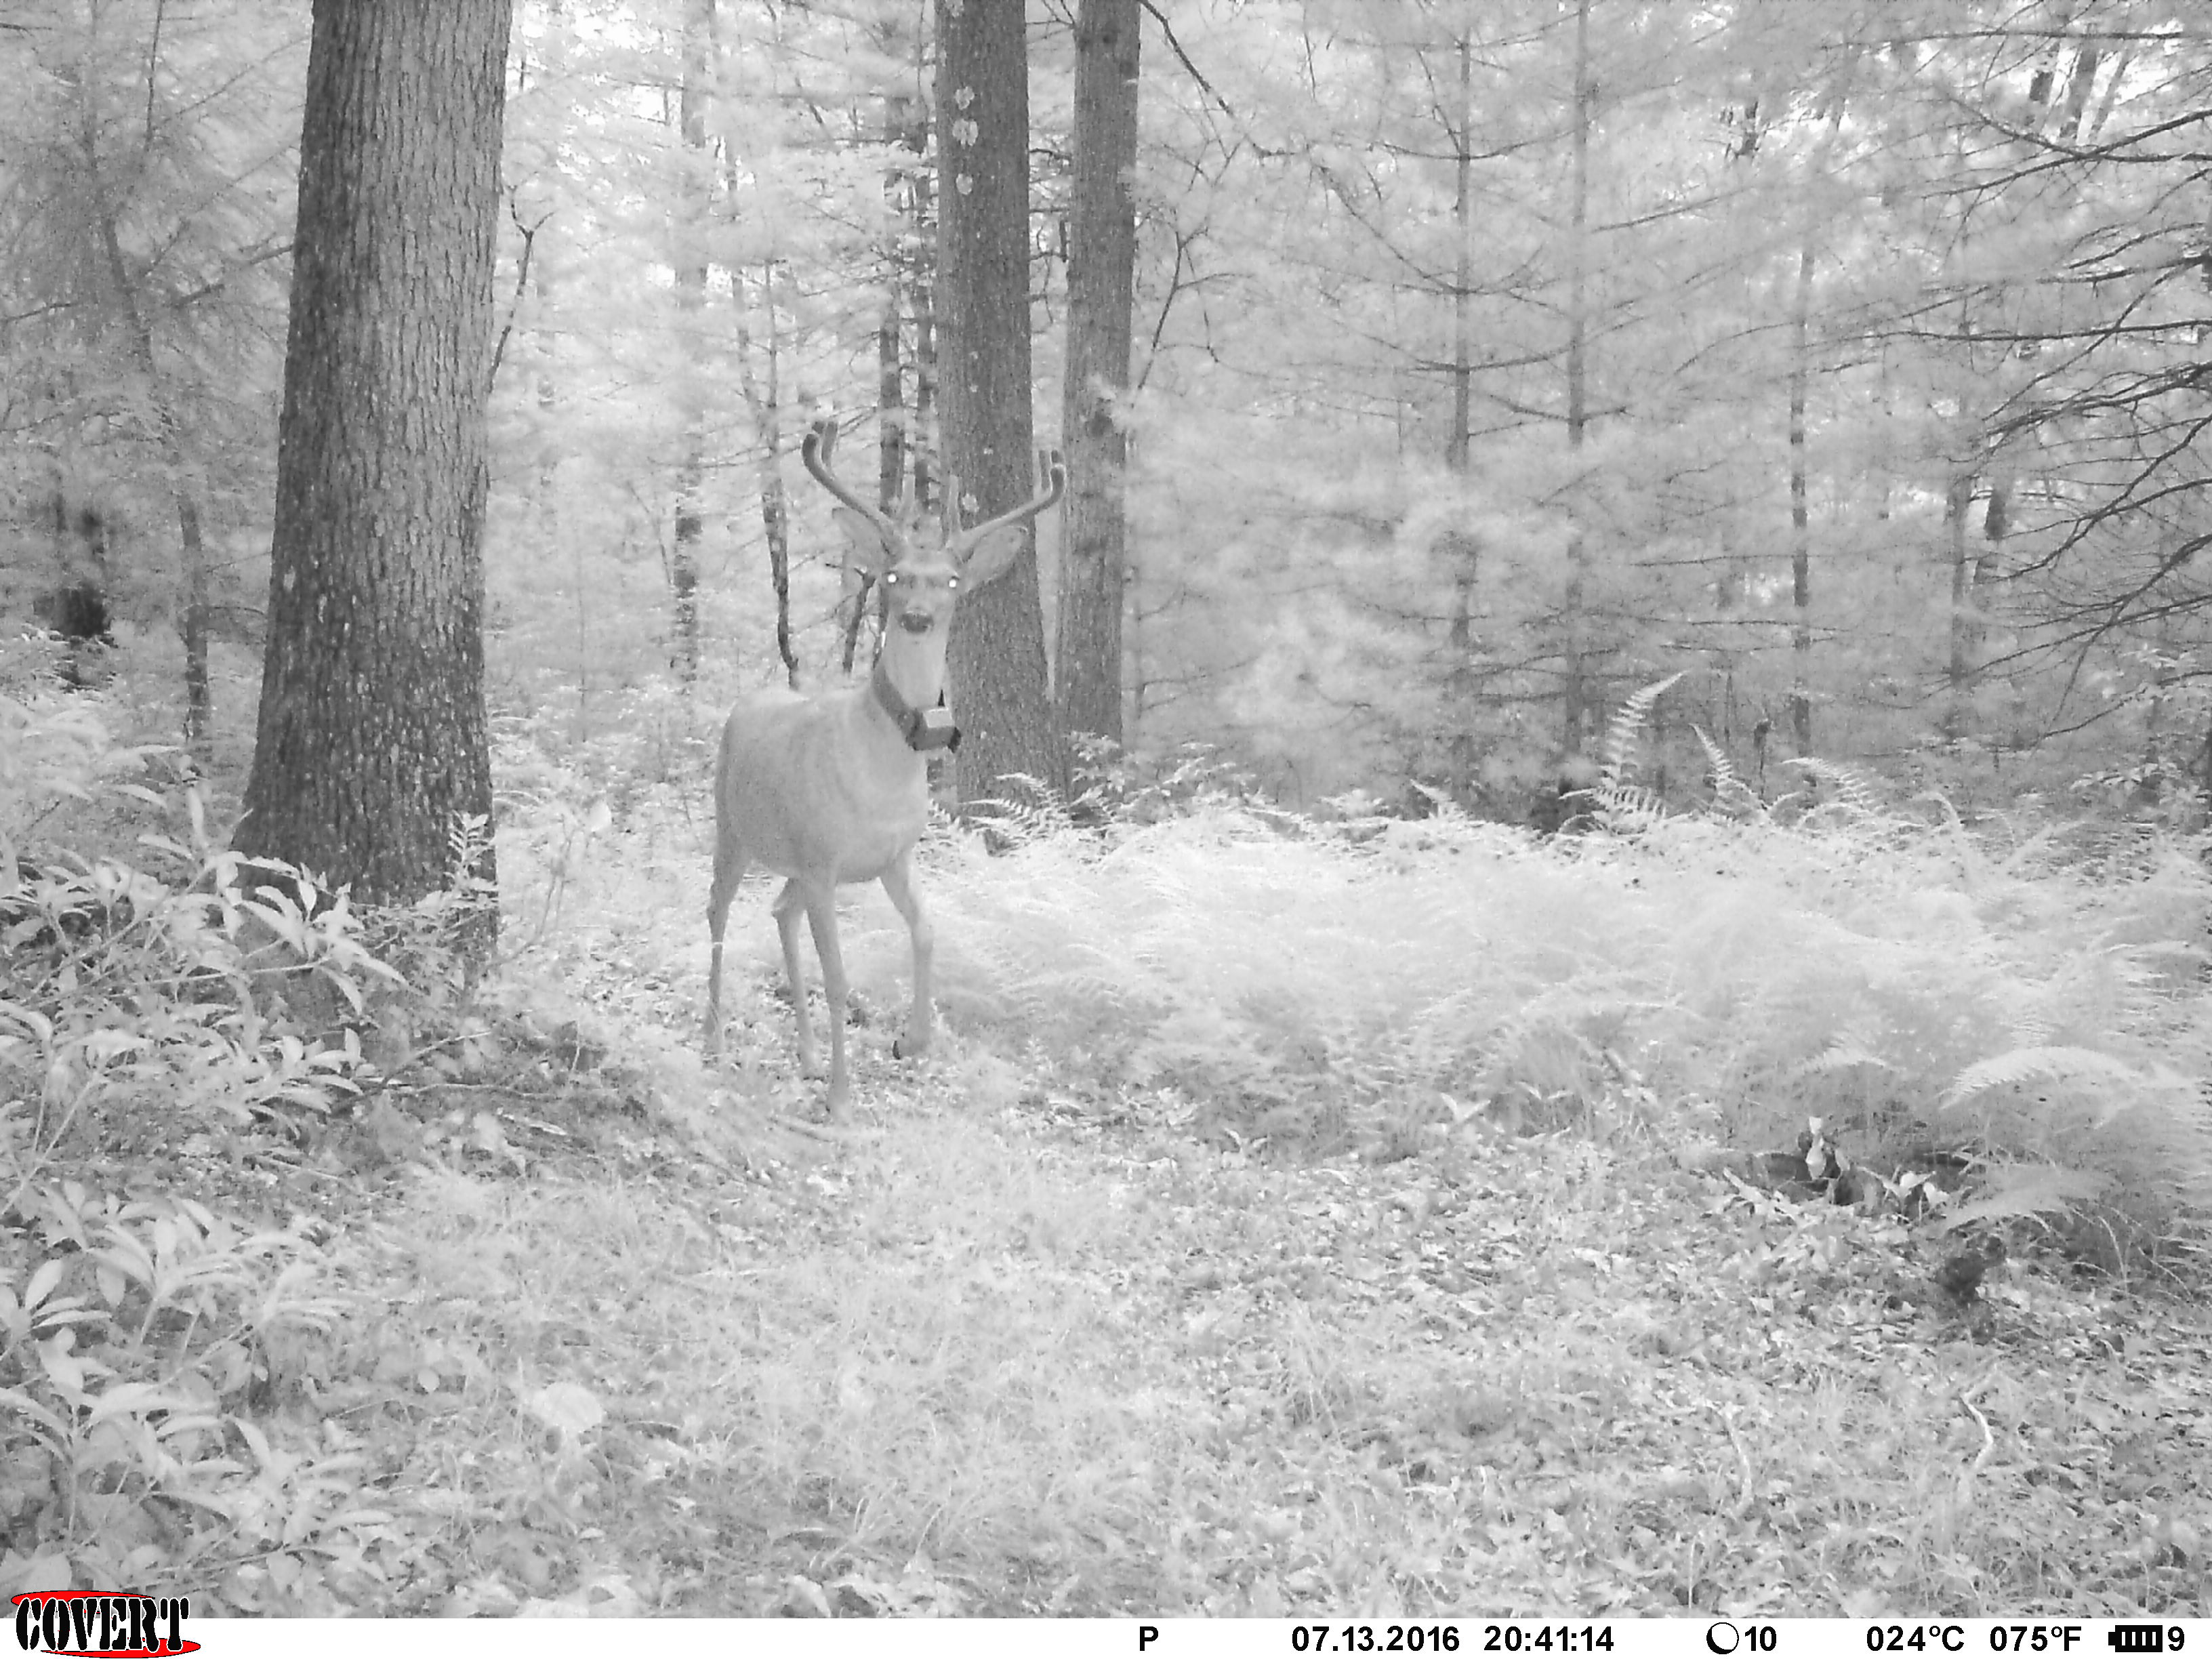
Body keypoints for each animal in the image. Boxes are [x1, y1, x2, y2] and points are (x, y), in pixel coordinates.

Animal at [699, 415, 1061, 1124]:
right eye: (893, 577)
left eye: (951, 580)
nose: (917, 618)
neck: (883, 774)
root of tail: (749, 701)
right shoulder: (822, 861)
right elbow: (840, 977)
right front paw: (843, 1099)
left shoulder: (889, 858)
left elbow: (926, 931)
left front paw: (910, 1041)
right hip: (734, 827)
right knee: (717, 913)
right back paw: (715, 1039)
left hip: (794, 862)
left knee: (778, 913)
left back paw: (808, 1055)